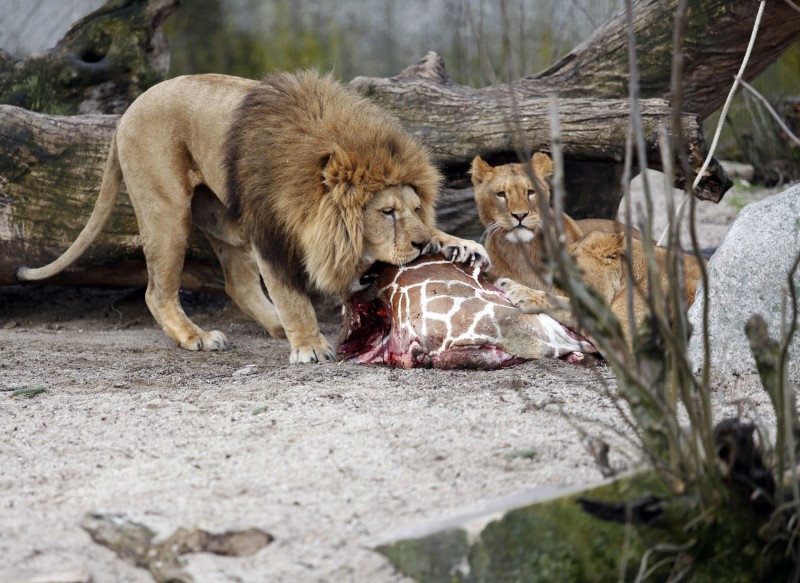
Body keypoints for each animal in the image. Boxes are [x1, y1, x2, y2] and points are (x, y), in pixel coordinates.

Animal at [18, 70, 488, 362]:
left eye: (415, 209)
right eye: (386, 212)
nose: (421, 244)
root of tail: (123, 117)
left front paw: (461, 245)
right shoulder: (271, 233)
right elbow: (293, 295)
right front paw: (309, 345)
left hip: (224, 219)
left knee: (237, 284)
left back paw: (272, 326)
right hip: (168, 211)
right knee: (157, 291)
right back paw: (198, 336)